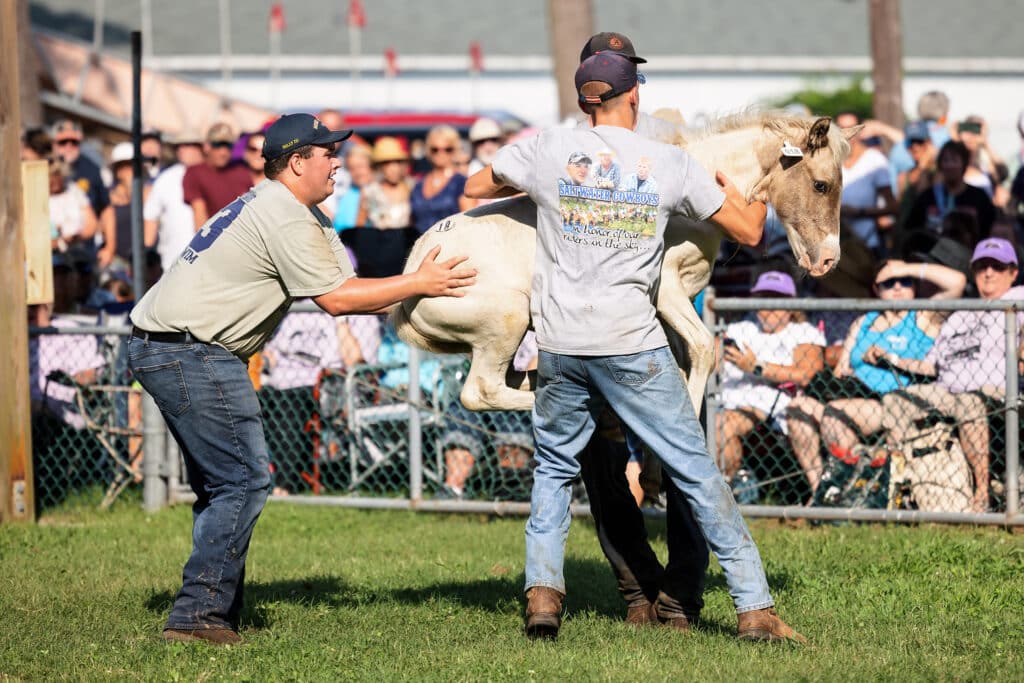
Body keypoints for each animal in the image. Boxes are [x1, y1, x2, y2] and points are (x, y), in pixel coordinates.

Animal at [391, 113, 856, 411]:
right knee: (482, 392)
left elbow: (678, 360)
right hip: (505, 322)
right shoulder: (666, 290)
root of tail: (413, 275)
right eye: (821, 184)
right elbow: (703, 349)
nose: (829, 260)